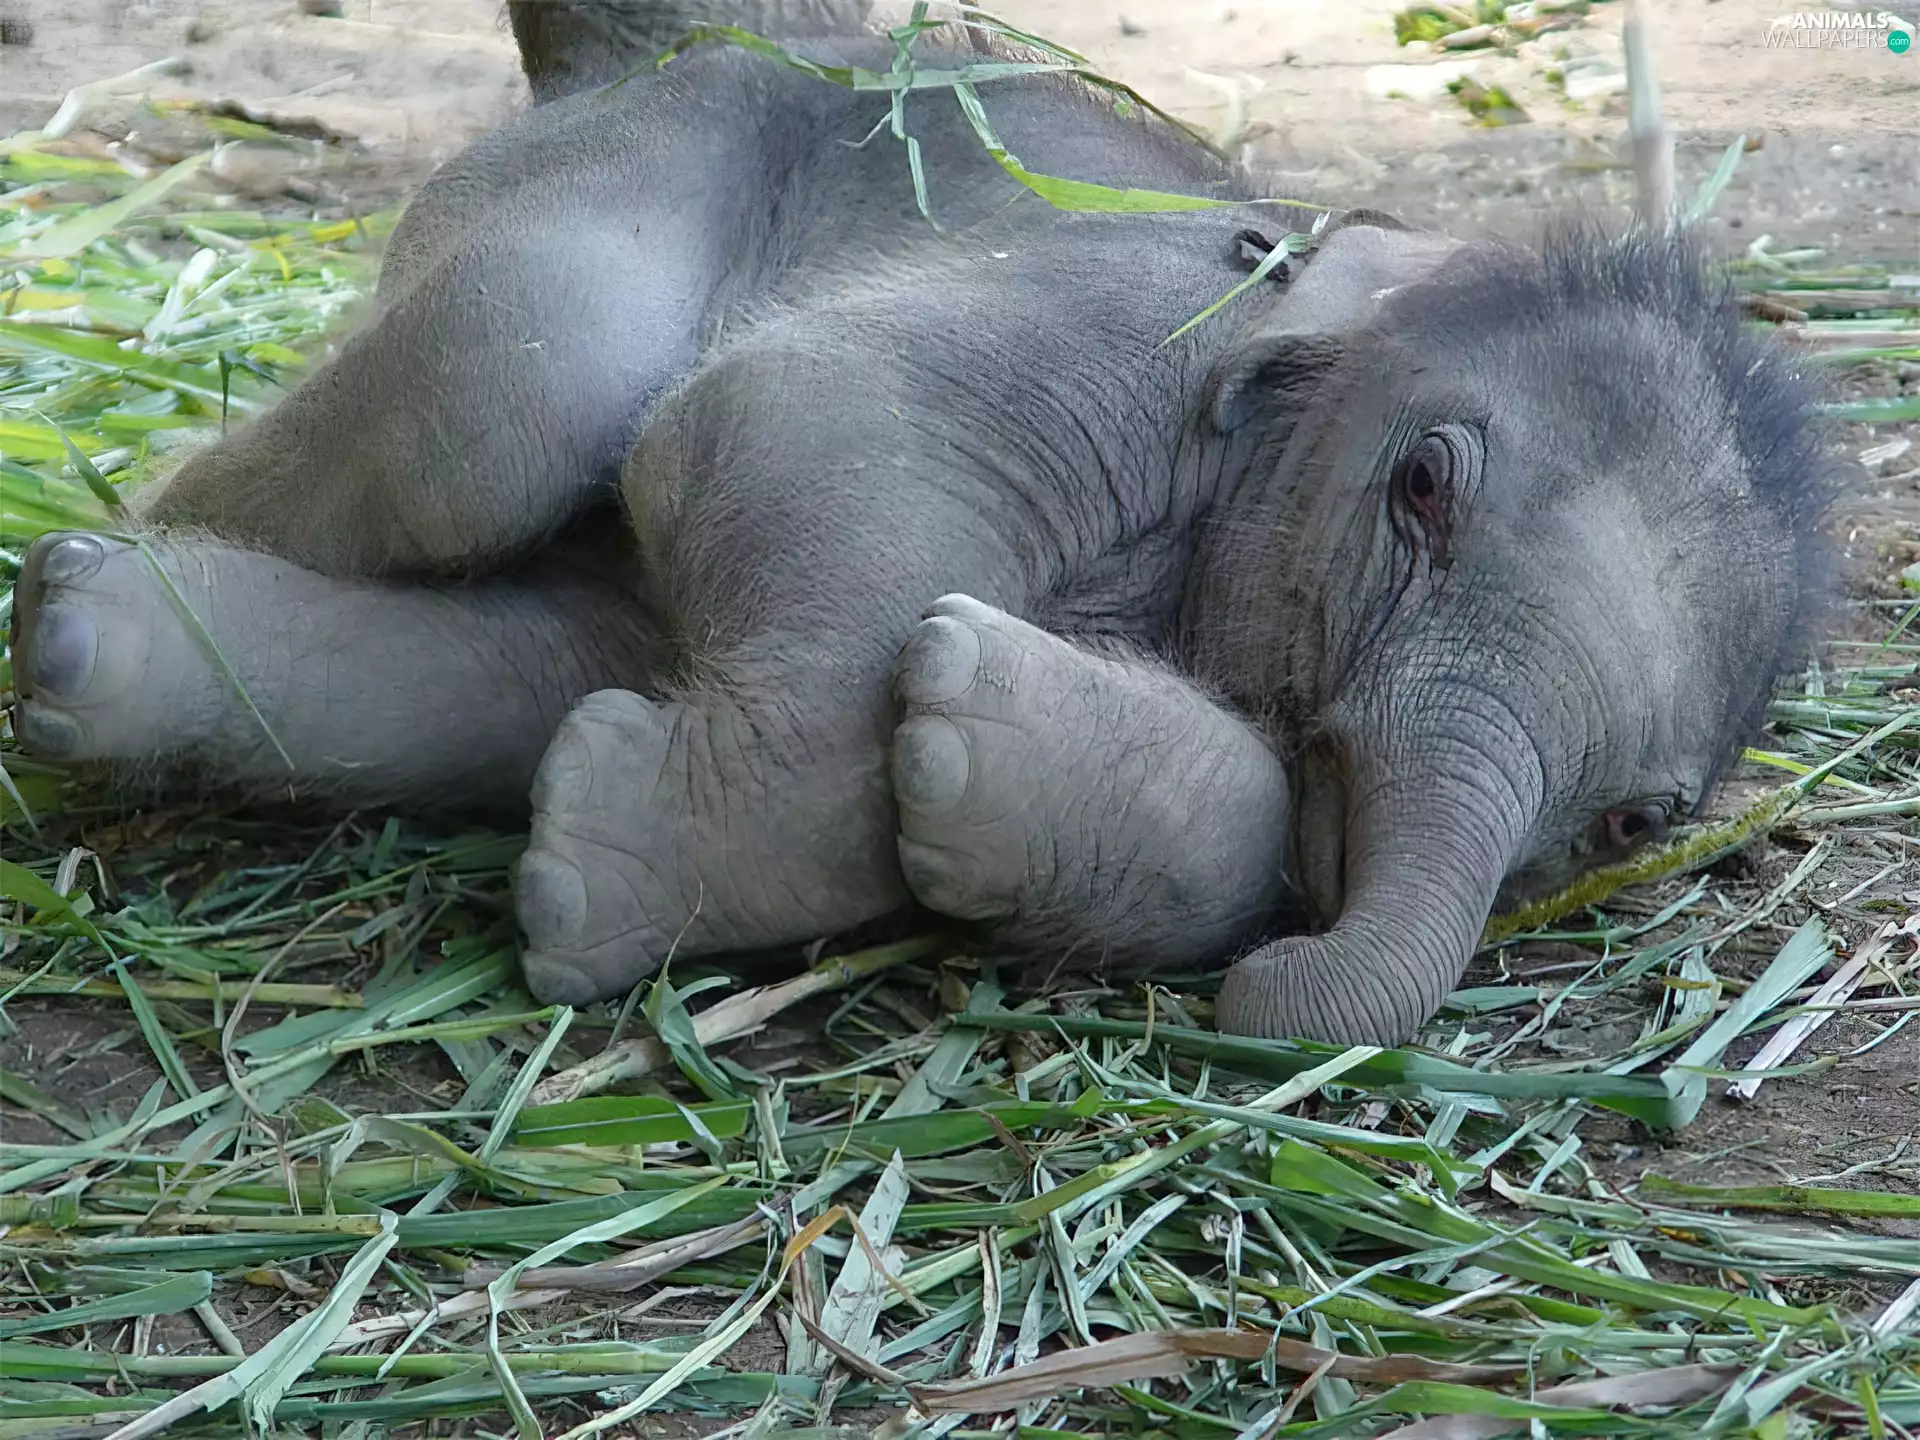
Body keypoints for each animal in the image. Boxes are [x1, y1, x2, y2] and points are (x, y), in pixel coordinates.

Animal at [4, 6, 1832, 1046]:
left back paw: (90, 645)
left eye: (1636, 821)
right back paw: (83, 587)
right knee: (504, 393)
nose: (1260, 1014)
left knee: (506, 661)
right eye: (1423, 489)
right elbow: (779, 417)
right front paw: (593, 886)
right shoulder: (1115, 328)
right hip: (635, 151)